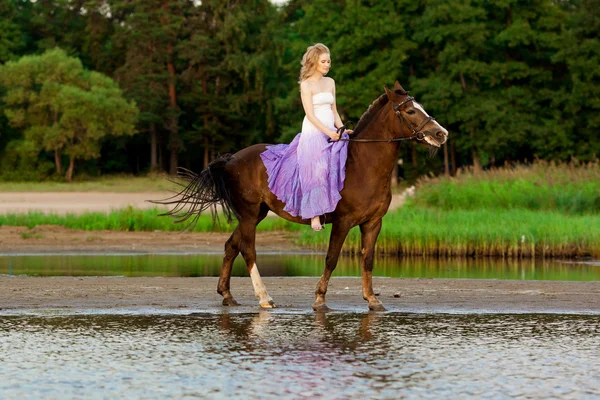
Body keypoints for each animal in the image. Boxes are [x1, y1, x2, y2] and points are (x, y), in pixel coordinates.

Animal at [157, 81, 448, 312]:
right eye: (410, 110)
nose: (440, 134)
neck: (363, 166)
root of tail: (231, 159)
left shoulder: (373, 223)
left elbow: (368, 260)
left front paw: (373, 301)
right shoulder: (343, 222)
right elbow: (331, 258)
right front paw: (319, 299)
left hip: (256, 214)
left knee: (231, 246)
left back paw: (227, 295)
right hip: (249, 215)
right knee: (248, 251)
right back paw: (264, 298)